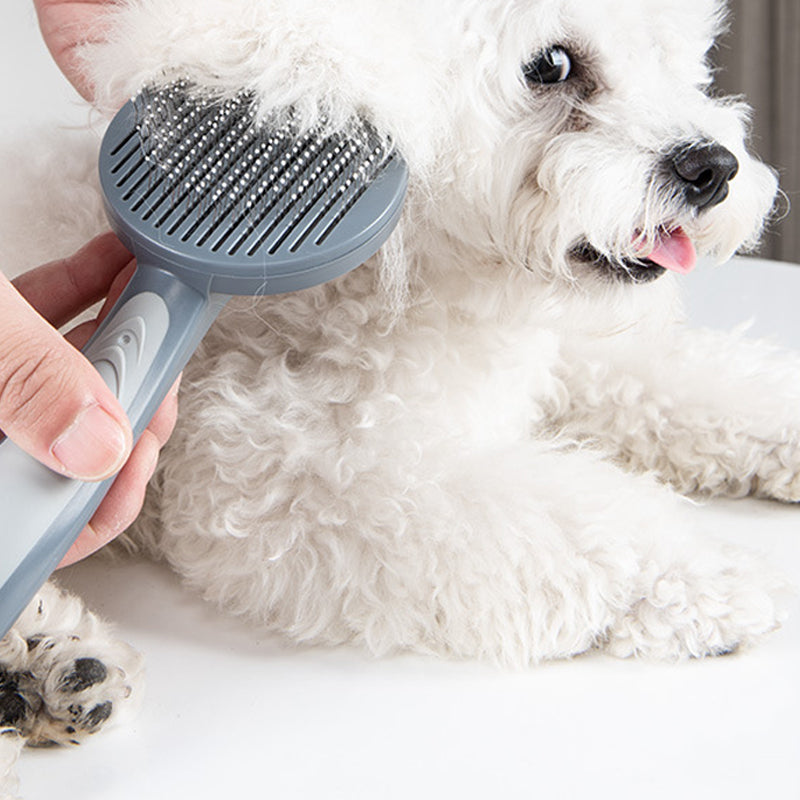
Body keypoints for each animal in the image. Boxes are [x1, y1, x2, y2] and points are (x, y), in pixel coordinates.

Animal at [0, 0, 792, 788]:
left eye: (674, 52)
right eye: (553, 65)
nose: (711, 166)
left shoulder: (550, 358)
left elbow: (677, 380)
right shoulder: (297, 480)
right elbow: (572, 525)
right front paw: (703, 578)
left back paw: (48, 677)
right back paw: (38, 665)